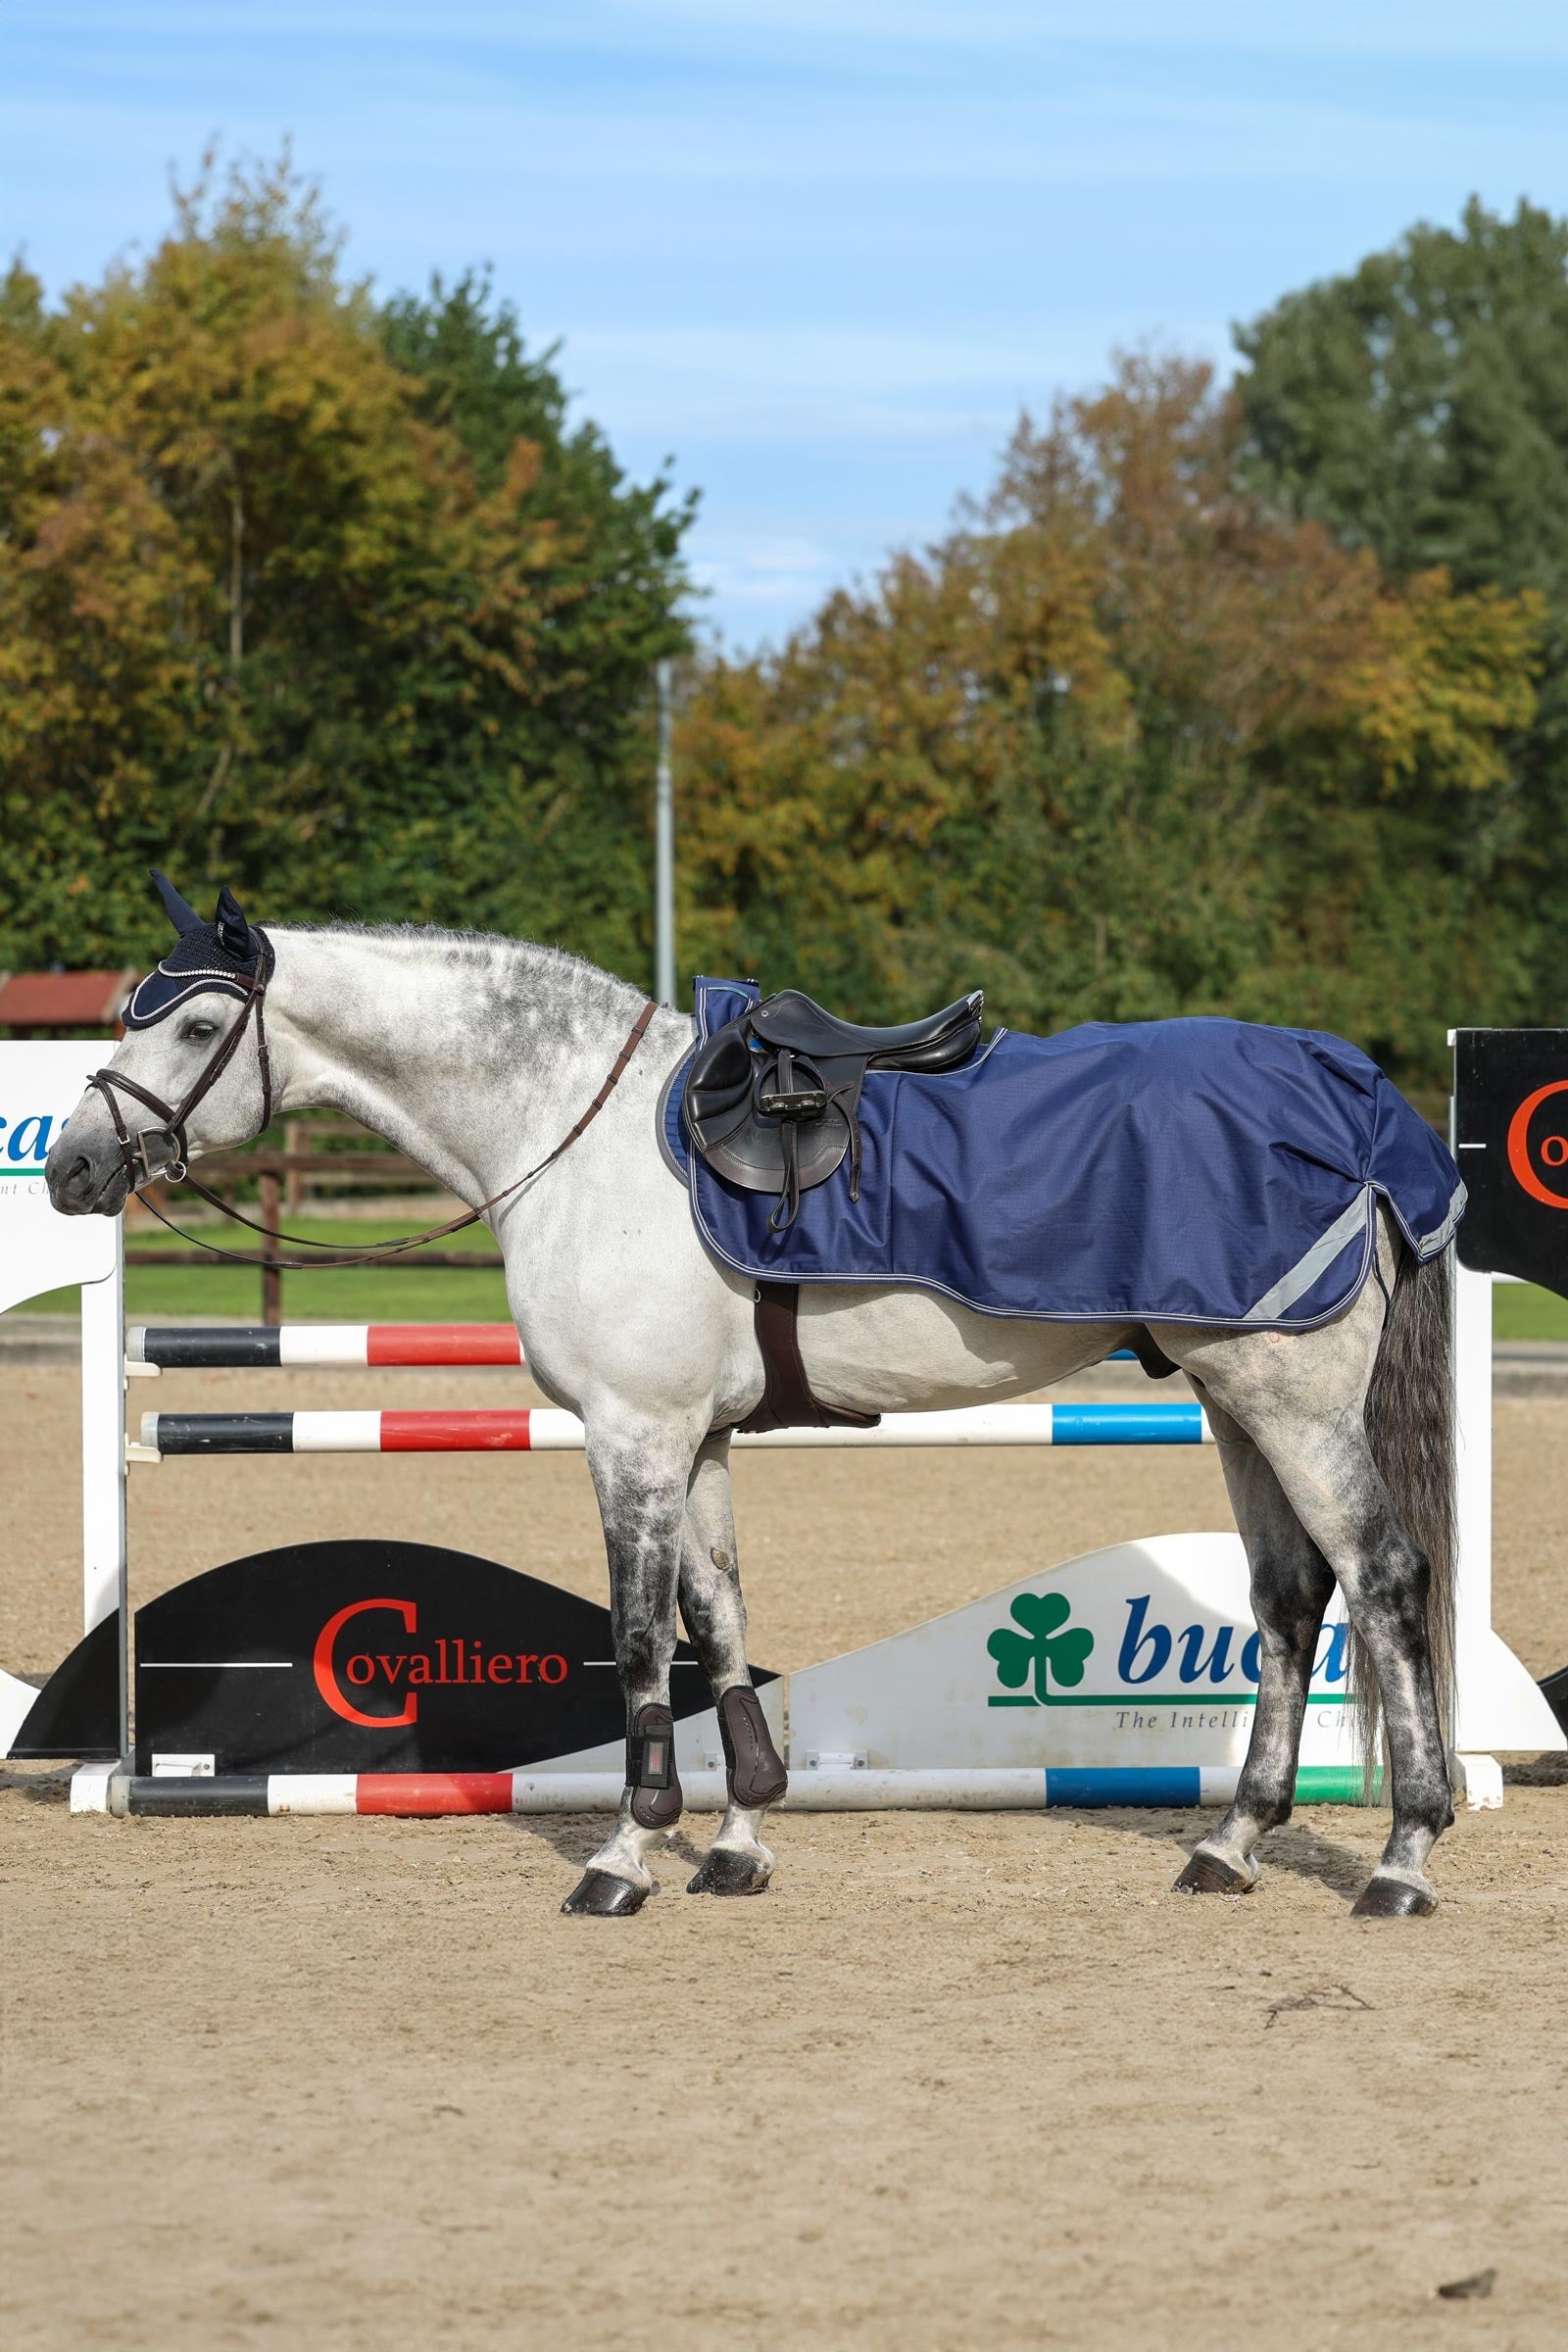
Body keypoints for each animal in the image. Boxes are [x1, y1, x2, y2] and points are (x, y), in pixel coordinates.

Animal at [46, 894, 1457, 1919]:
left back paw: (1403, 1854)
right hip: (1232, 1400)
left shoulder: (632, 1435)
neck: (578, 1132)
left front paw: (623, 1858)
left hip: (1292, 1405)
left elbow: (635, 1642)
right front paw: (735, 1843)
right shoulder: (700, 1440)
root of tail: (1349, 1093)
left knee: (1382, 1577)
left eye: (190, 1029)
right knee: (1290, 1599)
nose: (71, 1168)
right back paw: (1232, 1843)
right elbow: (716, 1624)